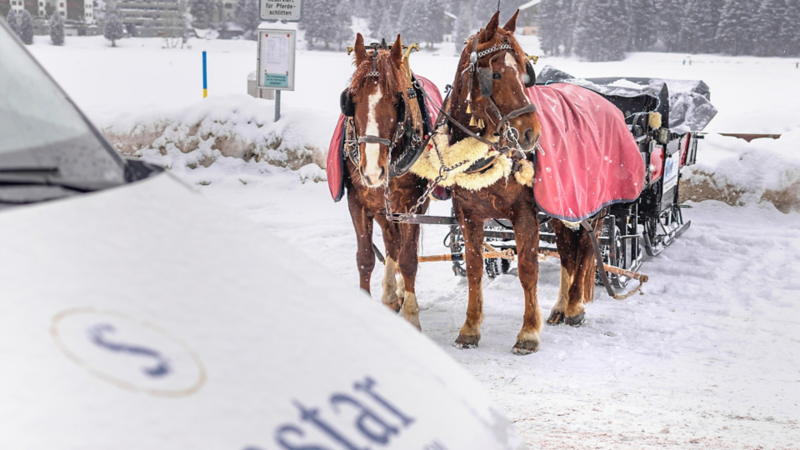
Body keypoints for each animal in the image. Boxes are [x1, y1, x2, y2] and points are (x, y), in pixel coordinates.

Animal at [340, 33, 431, 329]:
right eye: (351, 100)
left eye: (396, 101)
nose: (371, 171)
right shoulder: (357, 201)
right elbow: (365, 258)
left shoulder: (413, 206)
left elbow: (409, 259)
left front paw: (412, 316)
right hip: (382, 209)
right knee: (391, 243)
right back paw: (392, 295)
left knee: (400, 248)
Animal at [438, 11, 616, 354]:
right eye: (494, 74)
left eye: (524, 74)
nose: (531, 133)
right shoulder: (468, 214)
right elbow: (474, 268)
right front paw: (470, 328)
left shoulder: (524, 213)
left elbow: (528, 270)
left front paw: (528, 333)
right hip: (561, 207)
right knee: (567, 250)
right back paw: (561, 306)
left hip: (592, 206)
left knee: (585, 248)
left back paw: (575, 307)